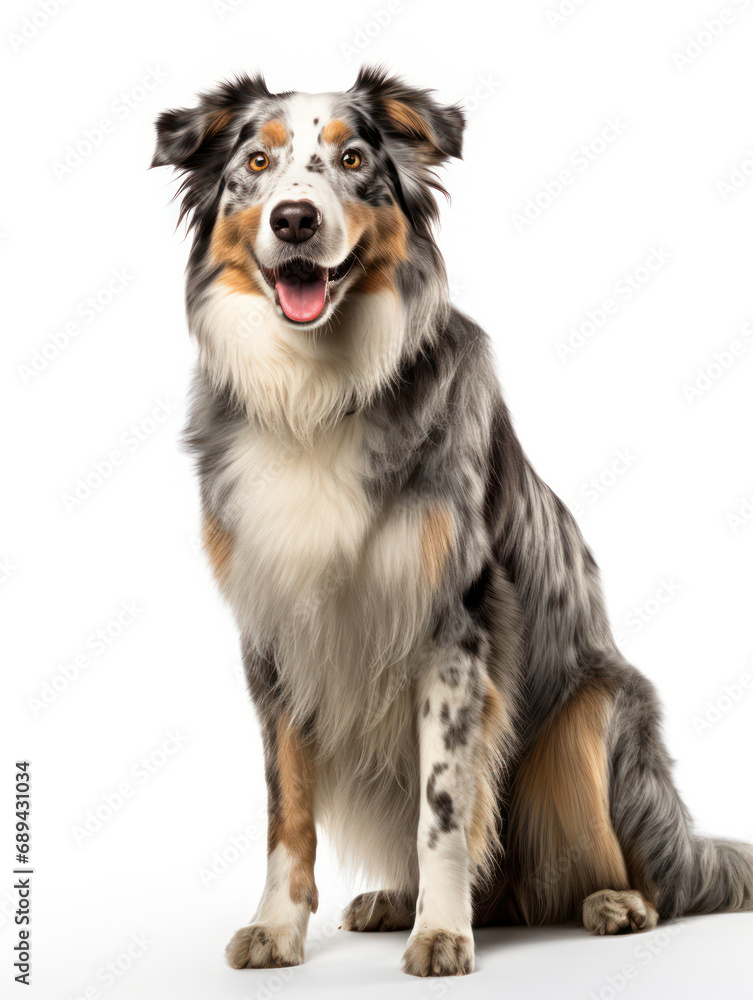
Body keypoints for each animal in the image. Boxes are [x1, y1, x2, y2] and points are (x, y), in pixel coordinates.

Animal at [153, 68, 752, 976]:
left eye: (353, 160)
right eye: (256, 162)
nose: (294, 220)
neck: (318, 393)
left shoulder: (456, 625)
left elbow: (444, 807)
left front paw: (441, 933)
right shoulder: (275, 632)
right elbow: (286, 808)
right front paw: (278, 928)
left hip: (595, 714)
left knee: (635, 869)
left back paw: (613, 902)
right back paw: (395, 900)